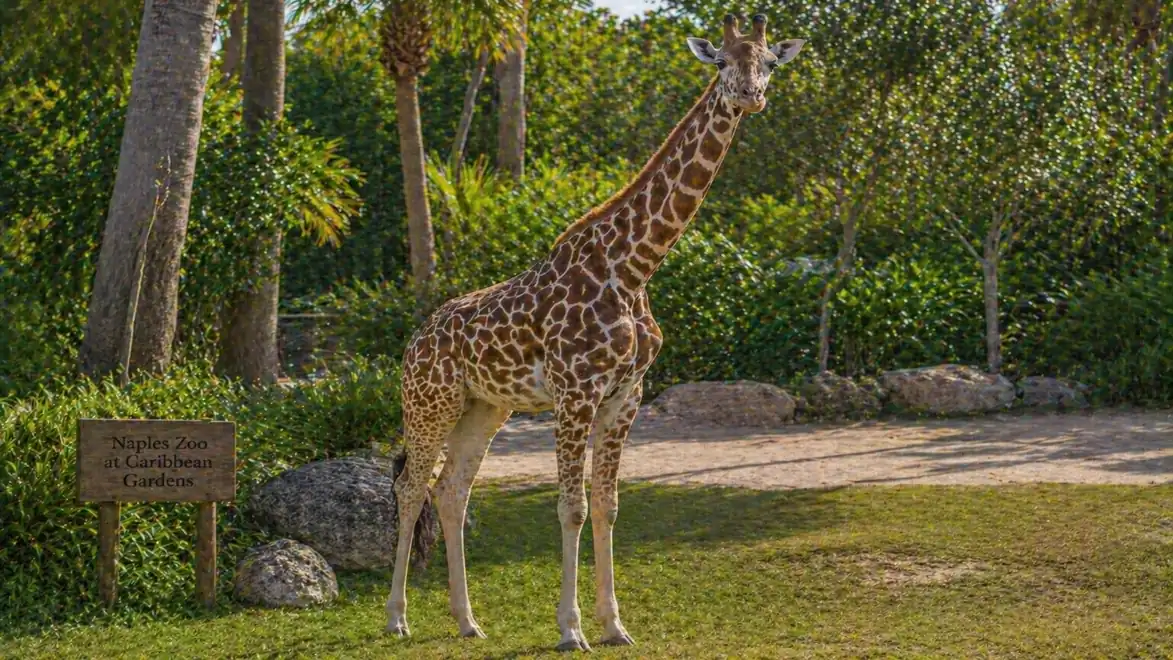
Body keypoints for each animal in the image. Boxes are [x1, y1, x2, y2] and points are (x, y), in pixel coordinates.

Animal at [384, 13, 804, 652]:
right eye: (722, 62)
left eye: (770, 62)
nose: (751, 96)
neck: (633, 267)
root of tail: (415, 341)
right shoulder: (575, 392)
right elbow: (571, 508)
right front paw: (570, 629)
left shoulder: (625, 396)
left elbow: (607, 507)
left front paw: (614, 625)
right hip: (431, 402)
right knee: (411, 488)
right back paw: (397, 618)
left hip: (485, 407)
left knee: (451, 491)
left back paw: (467, 621)